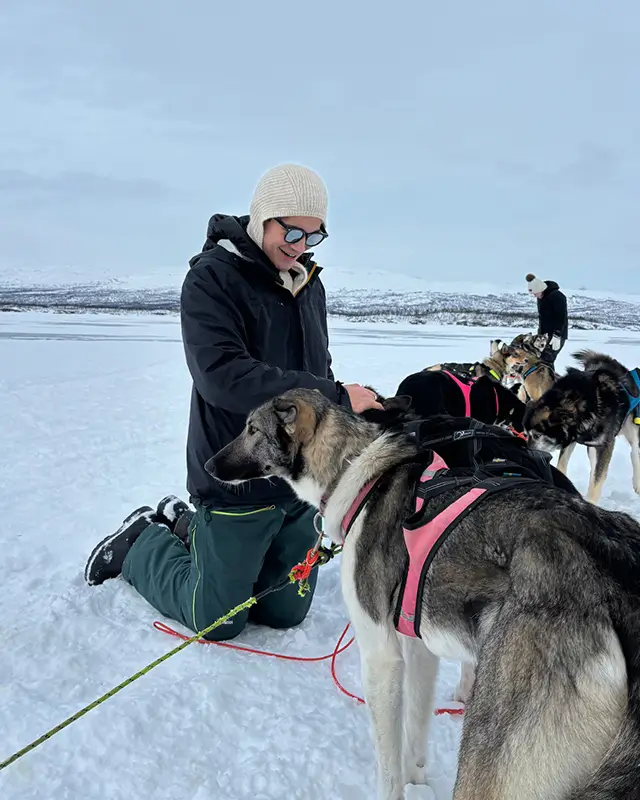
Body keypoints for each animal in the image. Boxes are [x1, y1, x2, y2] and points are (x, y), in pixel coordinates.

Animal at [206, 388, 640, 800]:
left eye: (251, 429)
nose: (209, 467)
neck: (357, 471)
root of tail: (615, 570)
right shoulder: (418, 647)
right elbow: (415, 730)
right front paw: (417, 781)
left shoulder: (381, 655)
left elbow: (388, 763)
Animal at [524, 350, 640, 504]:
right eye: (526, 434)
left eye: (537, 435)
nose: (527, 453)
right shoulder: (571, 440)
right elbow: (562, 464)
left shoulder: (605, 445)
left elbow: (597, 479)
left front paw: (591, 501)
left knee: (635, 453)